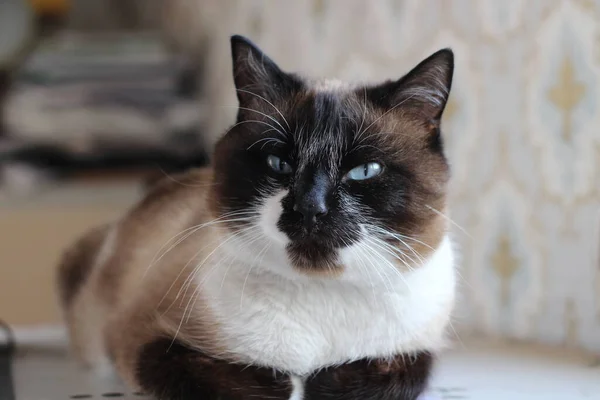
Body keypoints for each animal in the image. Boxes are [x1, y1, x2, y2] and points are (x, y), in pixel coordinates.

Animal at [58, 35, 458, 400]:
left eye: (364, 172)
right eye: (279, 163)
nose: (310, 207)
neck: (319, 293)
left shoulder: (413, 350)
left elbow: (391, 375)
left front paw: (318, 382)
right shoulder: (145, 338)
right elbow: (242, 383)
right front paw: (289, 382)